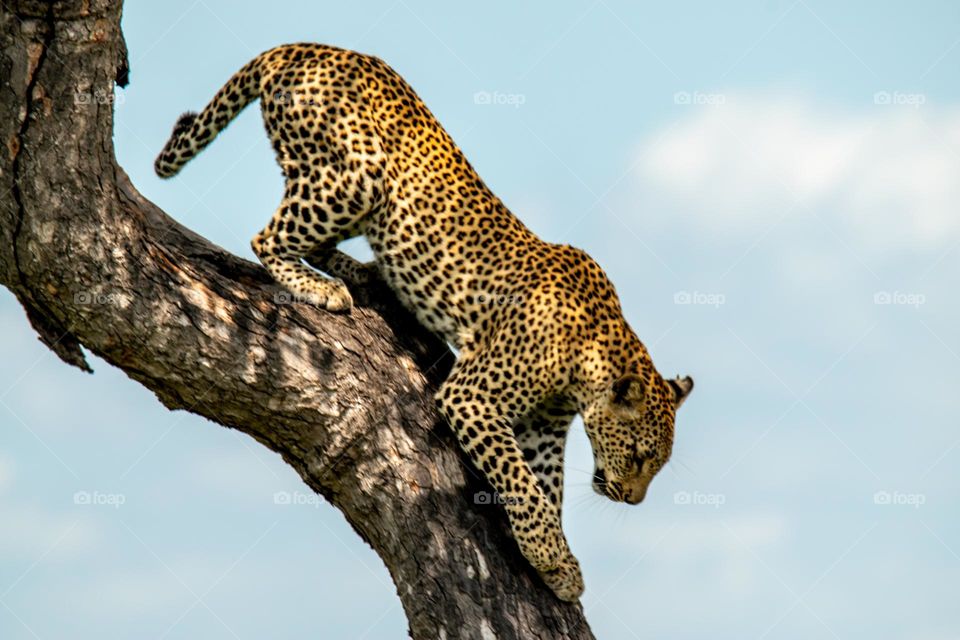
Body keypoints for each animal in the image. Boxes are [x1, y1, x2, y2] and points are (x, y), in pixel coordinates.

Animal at [155, 43, 694, 602]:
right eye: (639, 456)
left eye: (654, 464)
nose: (631, 499)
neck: (588, 364)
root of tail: (307, 45)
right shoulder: (472, 396)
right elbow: (522, 483)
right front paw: (552, 556)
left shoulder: (545, 427)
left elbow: (545, 485)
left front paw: (554, 558)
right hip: (356, 179)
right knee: (268, 236)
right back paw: (323, 288)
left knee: (318, 242)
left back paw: (368, 277)